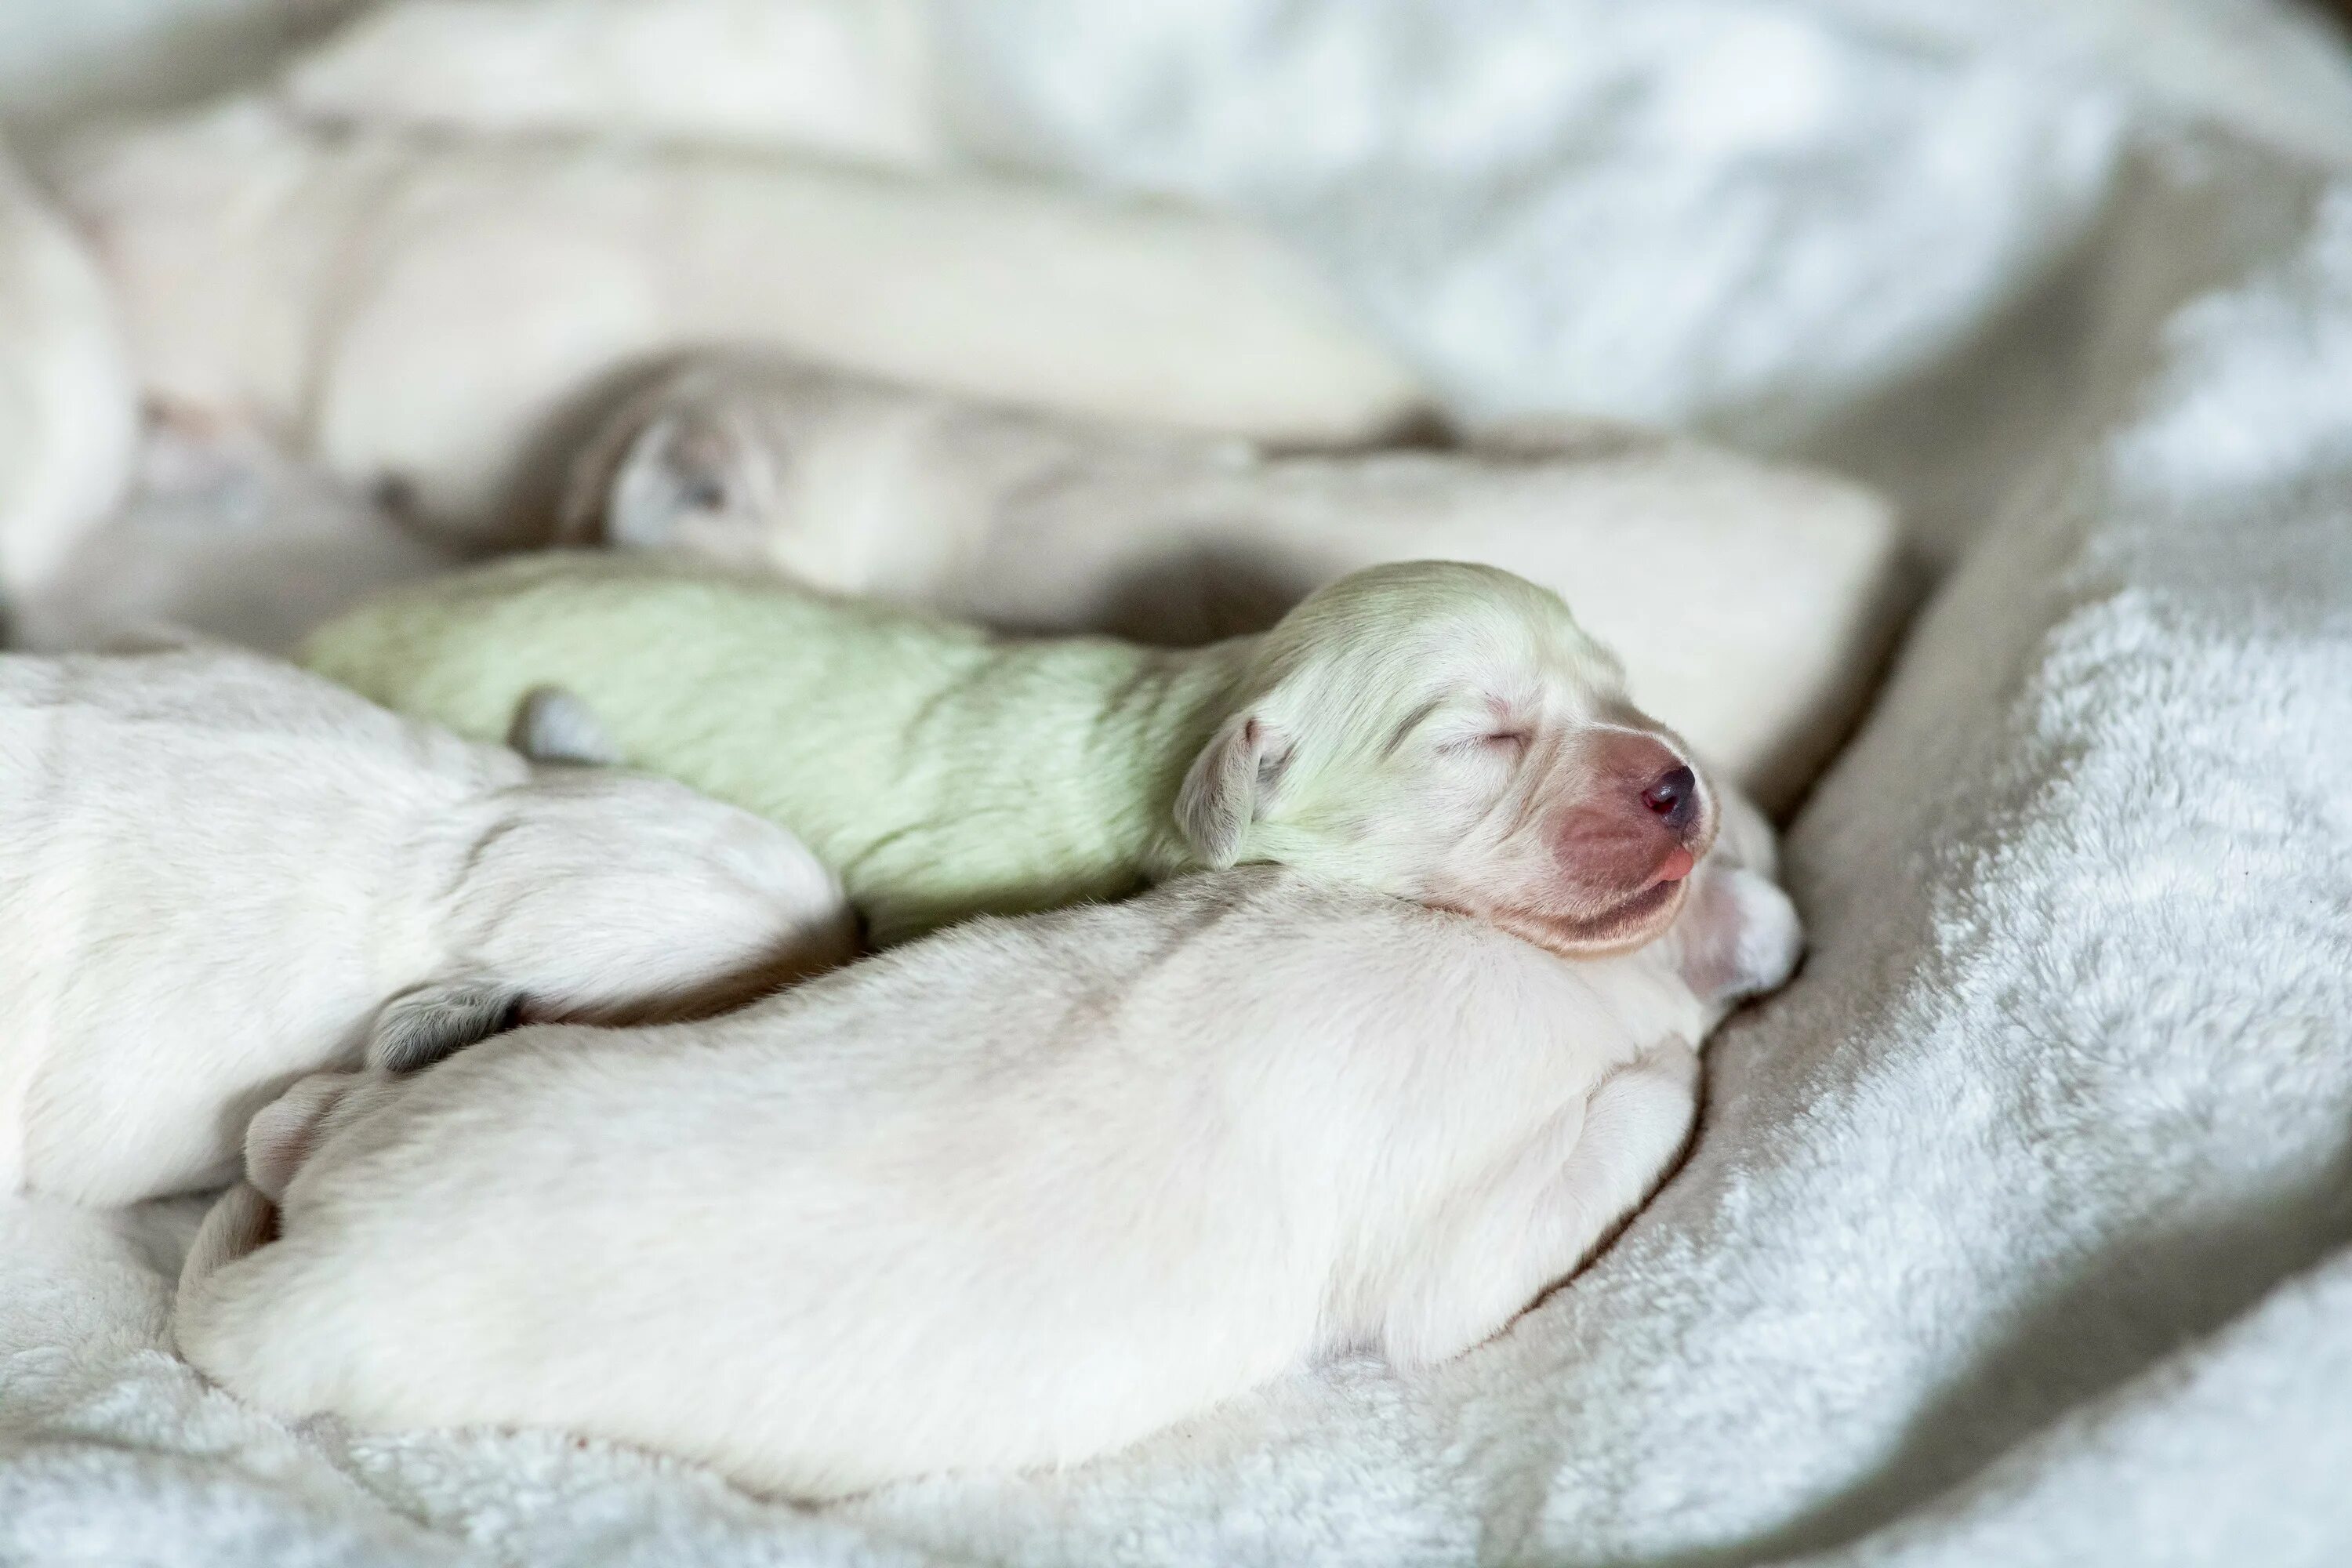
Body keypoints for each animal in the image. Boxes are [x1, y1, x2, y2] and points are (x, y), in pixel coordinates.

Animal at [179, 789, 1797, 1504]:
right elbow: (1618, 1131)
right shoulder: (1456, 1252)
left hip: (480, 1083)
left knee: (284, 1120)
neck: (1530, 957)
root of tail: (316, 1266)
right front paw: (1682, 1059)